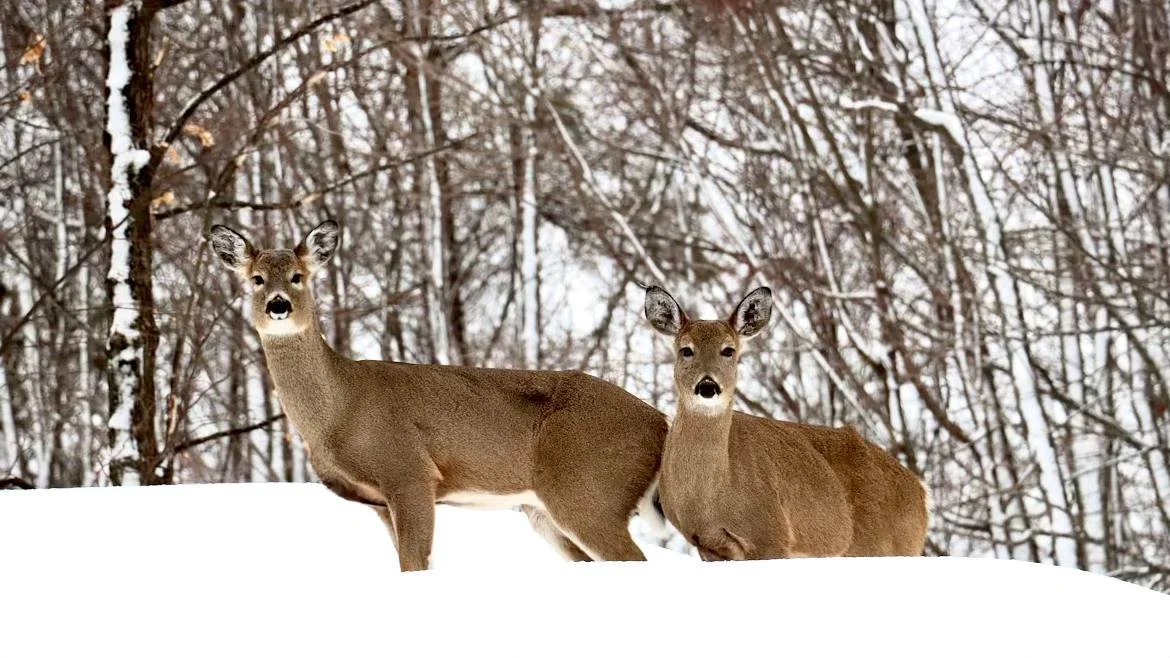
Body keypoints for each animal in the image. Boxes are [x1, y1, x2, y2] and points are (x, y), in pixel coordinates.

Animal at [209, 220, 667, 571]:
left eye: (298, 276)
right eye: (256, 279)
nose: (278, 305)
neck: (340, 411)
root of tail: (661, 422)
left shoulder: (409, 471)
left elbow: (415, 564)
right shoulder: (379, 500)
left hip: (589, 489)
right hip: (544, 509)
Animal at [642, 285, 928, 561]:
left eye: (728, 350)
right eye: (686, 350)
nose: (707, 386)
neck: (710, 498)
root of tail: (922, 494)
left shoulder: (772, 534)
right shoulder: (706, 543)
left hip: (885, 545)